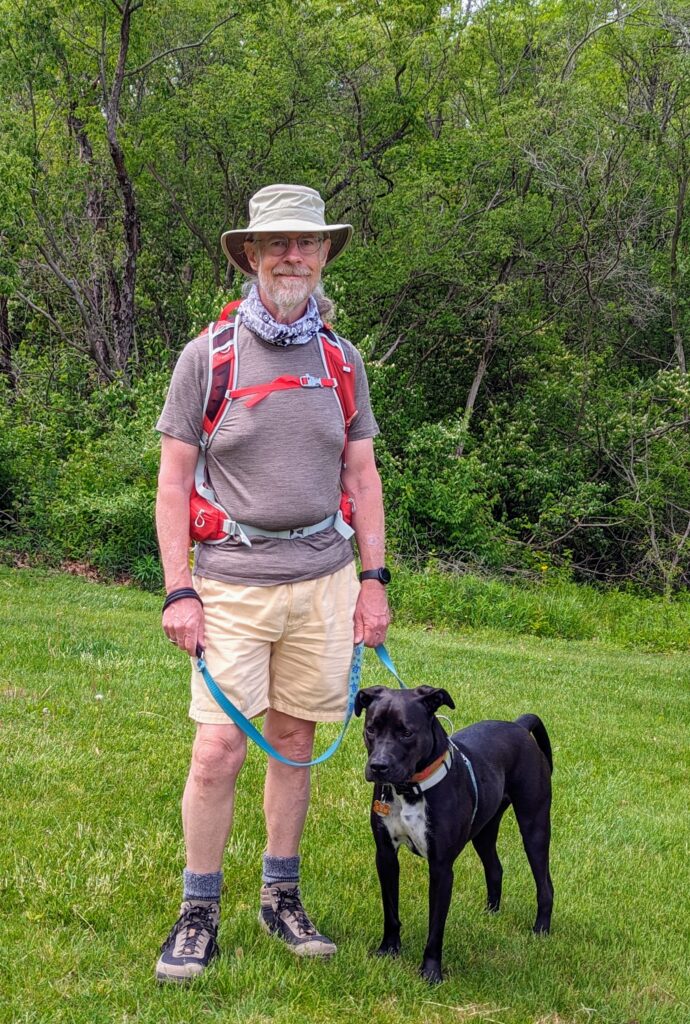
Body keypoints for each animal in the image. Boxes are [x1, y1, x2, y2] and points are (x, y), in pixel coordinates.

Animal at [354, 688, 552, 983]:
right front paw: (388, 950)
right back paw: (489, 914)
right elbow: (390, 910)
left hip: (534, 826)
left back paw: (541, 929)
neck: (410, 789)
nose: (378, 766)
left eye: (406, 732)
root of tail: (518, 725)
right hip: (484, 830)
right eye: (371, 729)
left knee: (545, 884)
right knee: (495, 868)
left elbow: (436, 927)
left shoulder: (441, 867)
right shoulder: (386, 856)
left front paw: (431, 972)